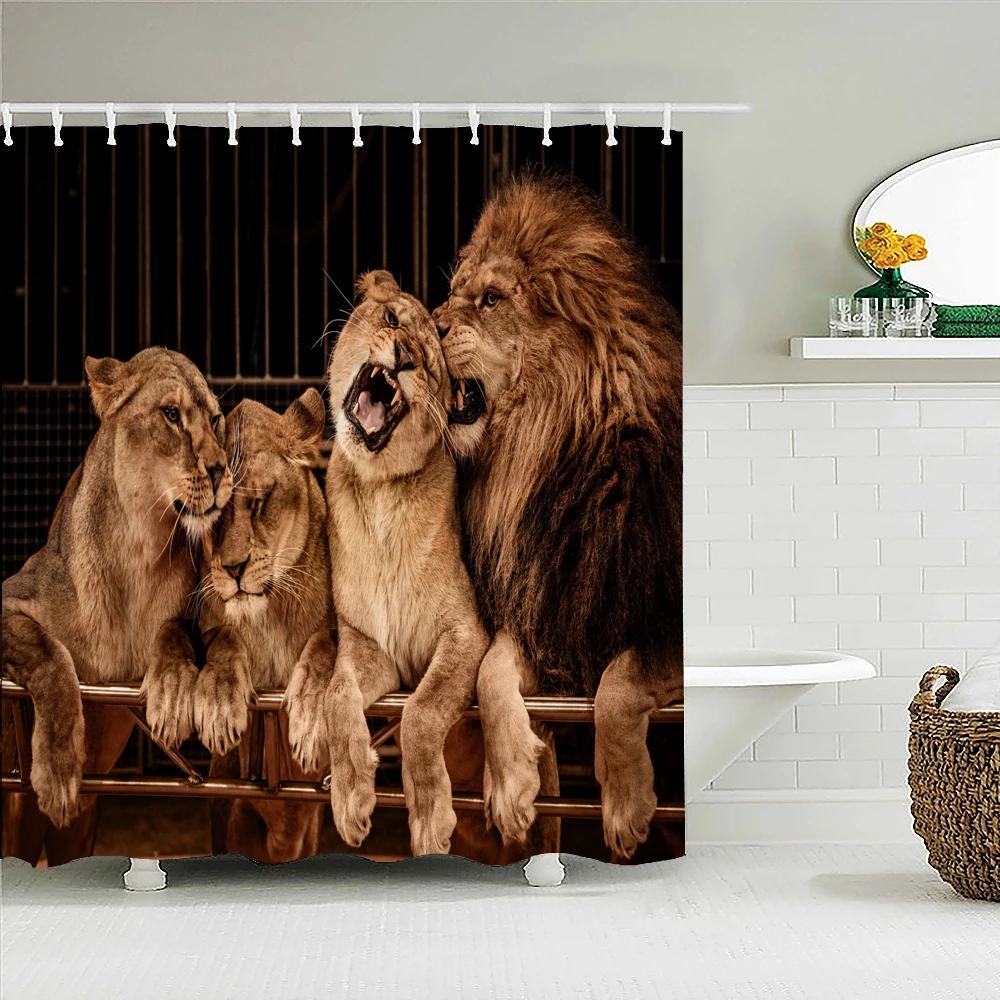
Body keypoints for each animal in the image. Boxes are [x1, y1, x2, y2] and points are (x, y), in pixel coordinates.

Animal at [1, 347, 232, 845]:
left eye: (216, 419)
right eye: (171, 415)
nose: (221, 470)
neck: (139, 548)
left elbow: (174, 630)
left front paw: (171, 689)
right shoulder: (12, 598)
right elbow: (48, 653)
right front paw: (58, 768)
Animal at [195, 390, 335, 864]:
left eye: (259, 501)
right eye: (213, 515)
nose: (232, 568)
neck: (268, 612)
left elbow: (325, 646)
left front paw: (311, 715)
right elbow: (224, 639)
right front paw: (220, 703)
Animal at [322, 270, 489, 857]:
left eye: (432, 366)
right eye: (392, 318)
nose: (404, 357)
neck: (380, 494)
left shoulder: (466, 633)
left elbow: (421, 711)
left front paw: (432, 820)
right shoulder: (368, 644)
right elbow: (336, 697)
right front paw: (351, 799)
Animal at [433, 175, 684, 861]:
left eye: (492, 298)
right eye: (451, 292)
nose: (424, 325)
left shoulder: (659, 618)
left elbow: (620, 681)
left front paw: (626, 807)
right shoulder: (548, 605)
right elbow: (490, 673)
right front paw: (511, 784)